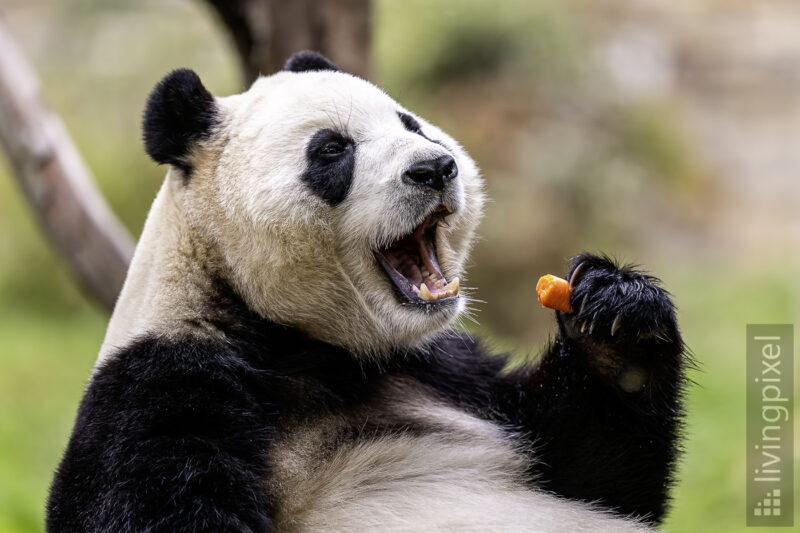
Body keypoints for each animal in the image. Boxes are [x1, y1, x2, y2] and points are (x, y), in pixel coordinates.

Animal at [46, 51, 687, 532]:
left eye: (411, 125)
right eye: (332, 150)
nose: (435, 168)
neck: (302, 343)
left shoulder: (446, 368)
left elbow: (596, 473)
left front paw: (615, 317)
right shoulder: (159, 388)